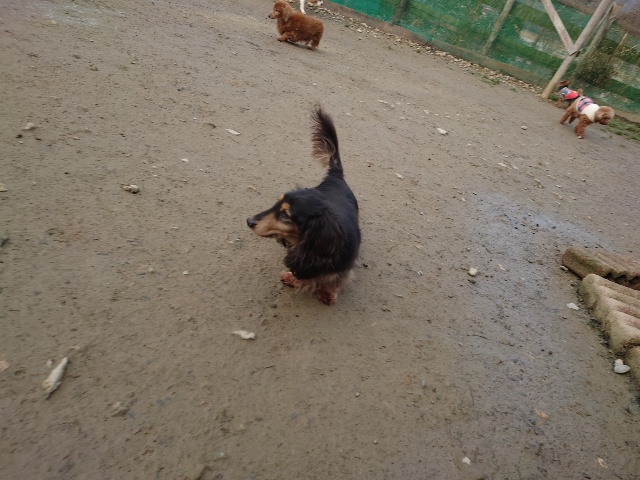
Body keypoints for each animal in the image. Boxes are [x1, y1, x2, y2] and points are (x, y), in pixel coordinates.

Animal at [247, 107, 361, 305]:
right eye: (276, 203)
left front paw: (328, 292)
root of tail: (336, 175)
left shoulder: (343, 265)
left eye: (285, 214)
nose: (249, 221)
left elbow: (336, 279)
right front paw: (292, 278)